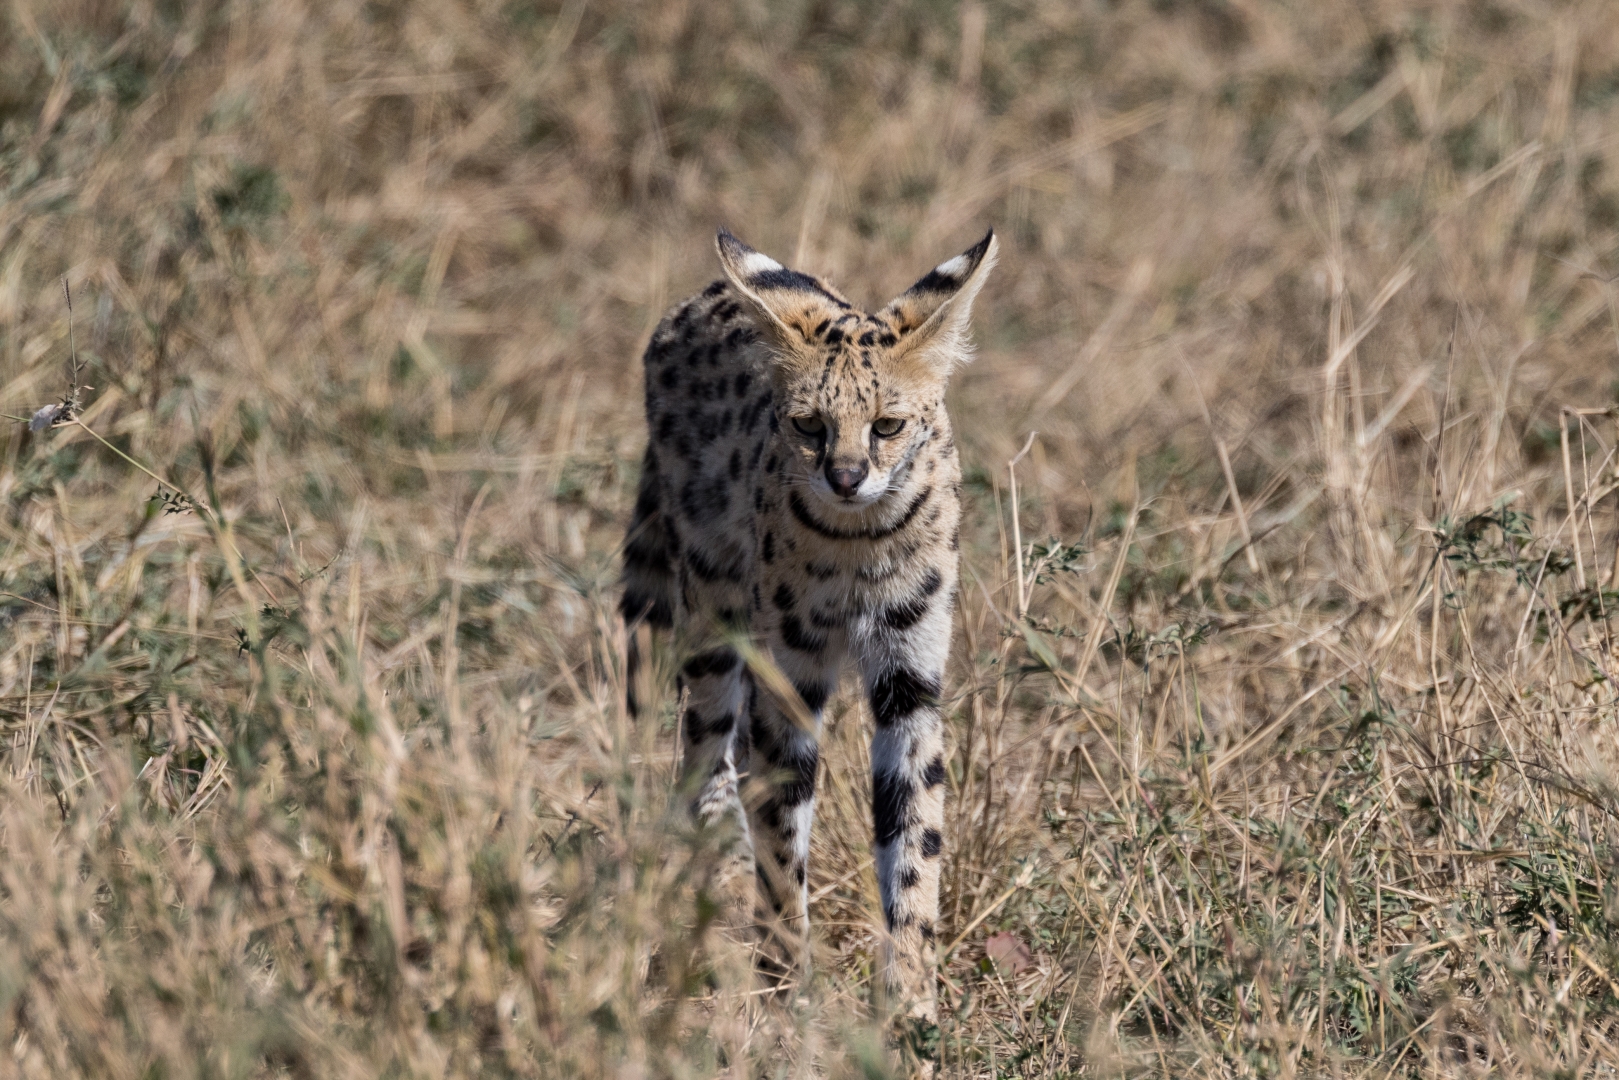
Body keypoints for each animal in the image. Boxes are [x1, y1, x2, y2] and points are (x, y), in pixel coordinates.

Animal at [621, 229, 990, 1029]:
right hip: (713, 609)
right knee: (703, 756)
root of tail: (690, 304)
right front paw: (788, 984)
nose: (846, 477)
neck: (859, 540)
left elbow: (917, 833)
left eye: (888, 425)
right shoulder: (787, 677)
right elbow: (782, 831)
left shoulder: (910, 678)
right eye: (806, 425)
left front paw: (911, 995)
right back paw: (719, 871)